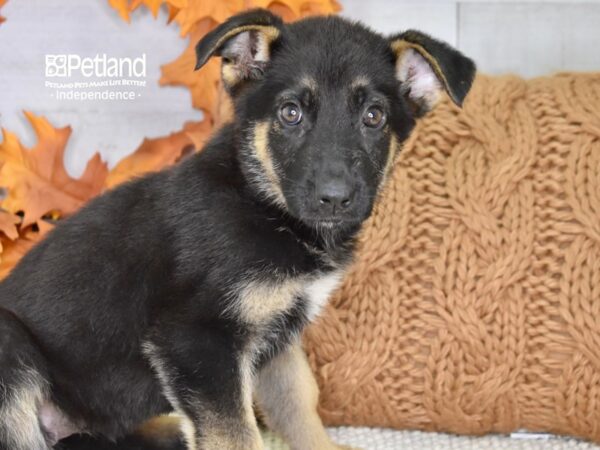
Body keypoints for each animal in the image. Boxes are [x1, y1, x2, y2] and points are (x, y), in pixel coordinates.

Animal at [0, 7, 474, 450]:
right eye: (290, 113)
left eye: (374, 116)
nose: (335, 198)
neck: (262, 205)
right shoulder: (198, 341)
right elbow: (237, 433)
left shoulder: (277, 334)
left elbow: (300, 403)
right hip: (13, 349)